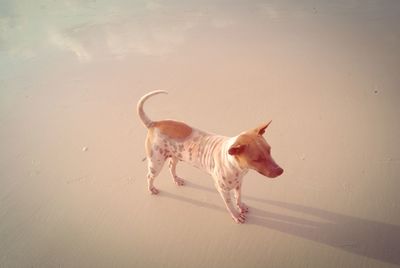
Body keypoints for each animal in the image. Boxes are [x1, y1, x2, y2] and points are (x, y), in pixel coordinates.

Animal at [138, 91, 284, 223]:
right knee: (149, 176)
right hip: (156, 163)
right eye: (256, 159)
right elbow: (230, 205)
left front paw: (241, 206)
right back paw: (151, 189)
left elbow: (238, 197)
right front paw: (236, 215)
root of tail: (154, 123)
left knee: (171, 167)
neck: (236, 165)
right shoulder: (223, 190)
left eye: (269, 150)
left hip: (174, 155)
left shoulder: (238, 184)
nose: (281, 171)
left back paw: (177, 180)